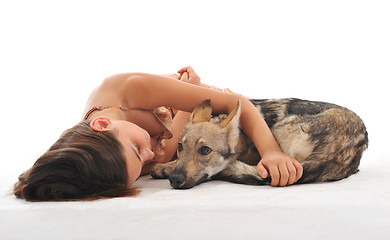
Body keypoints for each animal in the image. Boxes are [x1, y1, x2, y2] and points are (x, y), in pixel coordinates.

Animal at [150, 98, 368, 188]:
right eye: (180, 147)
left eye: (205, 150)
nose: (175, 180)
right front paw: (167, 166)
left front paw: (166, 167)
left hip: (278, 131)